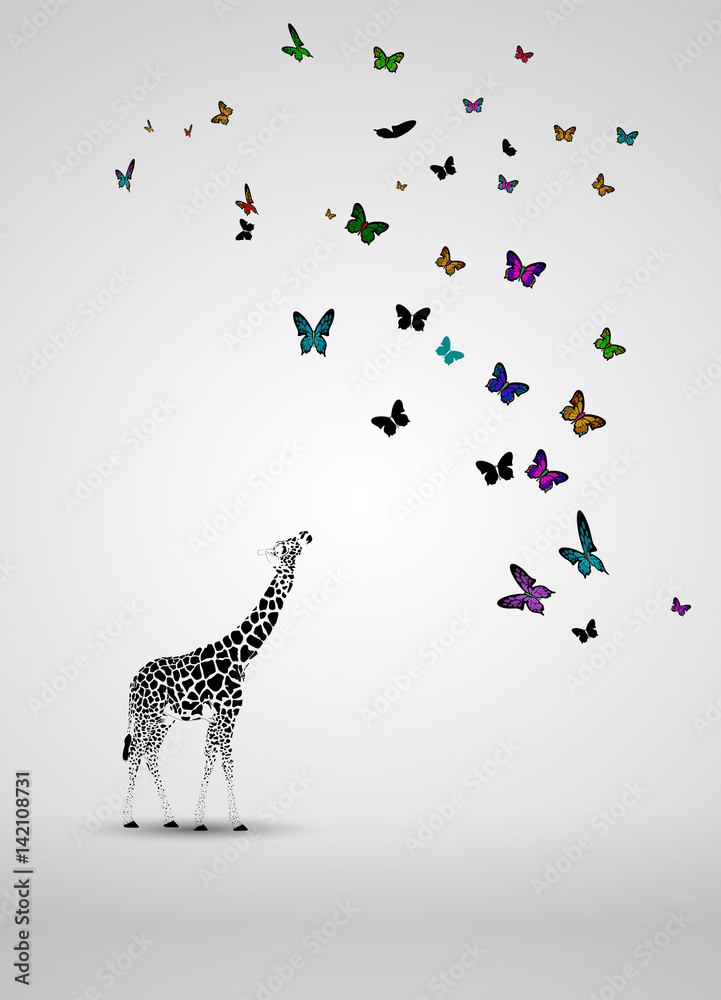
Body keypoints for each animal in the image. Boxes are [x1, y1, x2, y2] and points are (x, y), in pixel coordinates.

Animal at [121, 530, 312, 830]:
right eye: (285, 545)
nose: (307, 533)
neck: (241, 654)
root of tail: (132, 679)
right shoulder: (228, 713)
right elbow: (227, 760)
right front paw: (236, 822)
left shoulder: (217, 718)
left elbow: (211, 757)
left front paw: (199, 820)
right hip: (144, 714)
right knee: (137, 751)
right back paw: (129, 819)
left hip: (163, 719)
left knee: (151, 753)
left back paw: (170, 818)